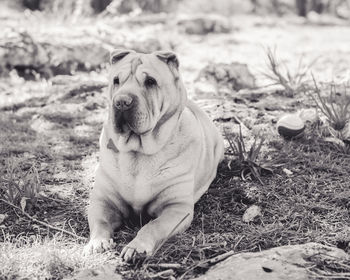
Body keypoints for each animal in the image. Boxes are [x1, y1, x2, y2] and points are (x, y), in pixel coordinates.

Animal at [83, 49, 223, 262]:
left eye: (150, 81)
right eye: (116, 80)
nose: (121, 102)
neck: (138, 151)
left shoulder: (176, 208)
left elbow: (152, 226)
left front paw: (137, 247)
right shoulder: (102, 200)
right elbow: (100, 222)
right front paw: (97, 243)